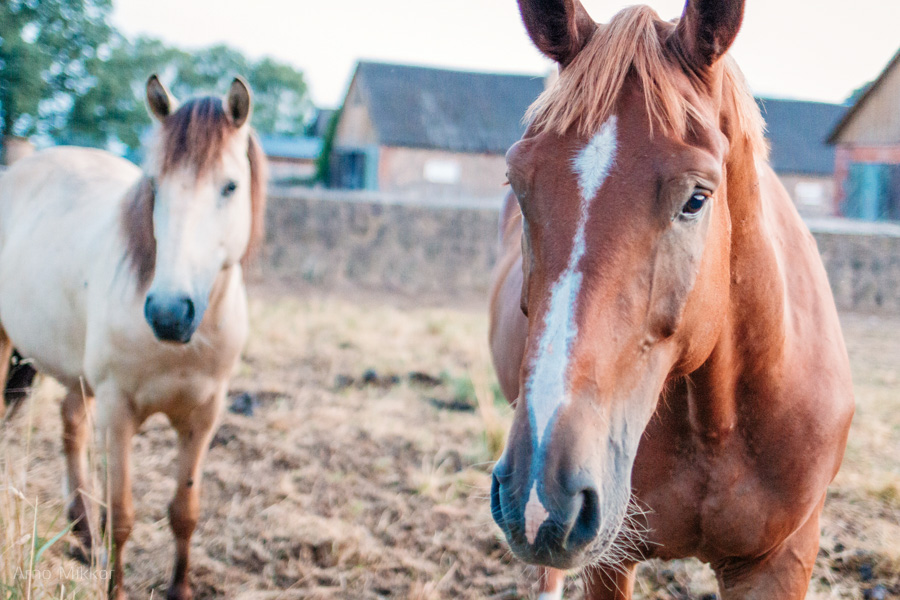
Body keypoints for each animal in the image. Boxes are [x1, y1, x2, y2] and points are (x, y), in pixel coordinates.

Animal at [0, 76, 268, 600]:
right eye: (155, 186)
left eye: (230, 186)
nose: (168, 313)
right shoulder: (118, 410)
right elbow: (122, 515)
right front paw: (115, 587)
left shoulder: (204, 415)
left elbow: (184, 513)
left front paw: (179, 589)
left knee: (71, 426)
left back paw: (84, 536)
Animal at [488, 2, 856, 596]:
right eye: (519, 185)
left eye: (697, 199)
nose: (544, 493)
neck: (719, 423)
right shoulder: (610, 561)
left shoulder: (782, 559)